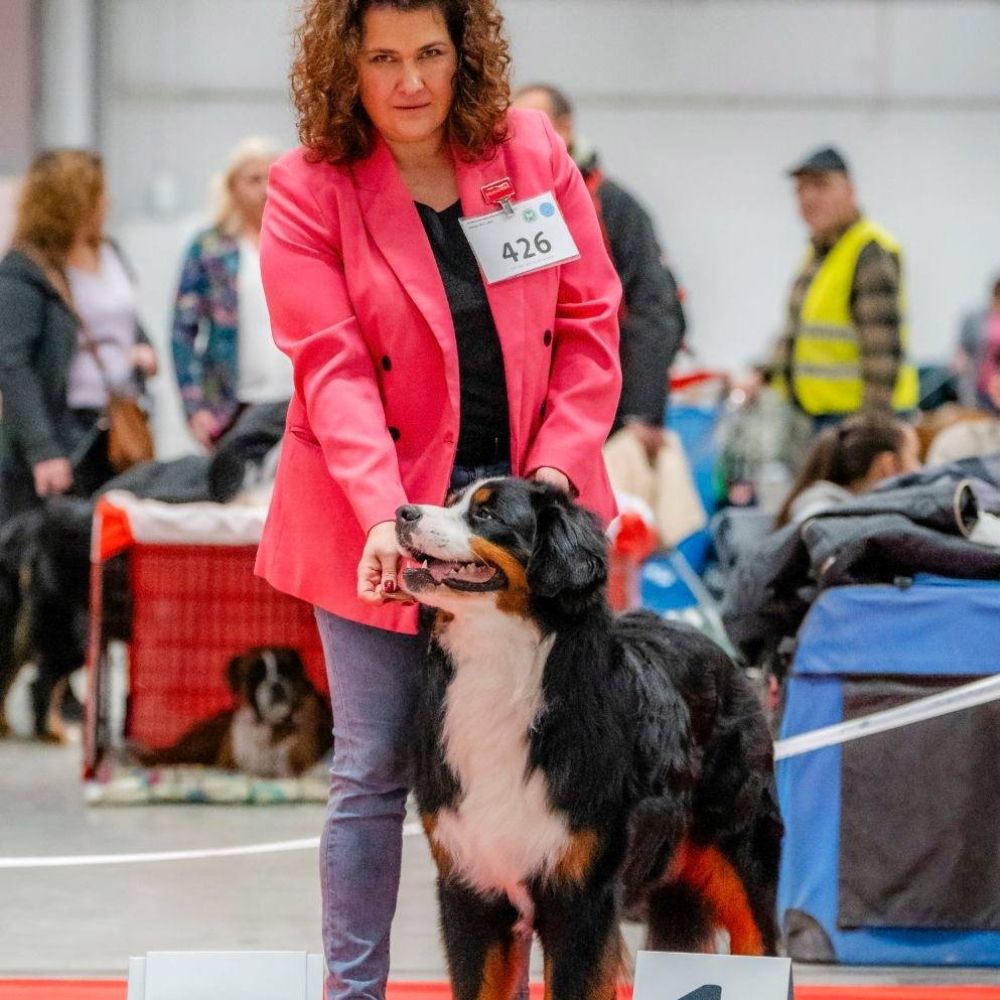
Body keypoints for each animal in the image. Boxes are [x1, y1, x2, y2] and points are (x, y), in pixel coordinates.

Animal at [137, 647, 331, 778]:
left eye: (286, 672)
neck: (266, 727)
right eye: (255, 675)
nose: (276, 684)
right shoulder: (228, 765)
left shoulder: (293, 766)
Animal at [395, 478, 782, 1000]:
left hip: (743, 858)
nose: (403, 513)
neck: (499, 672)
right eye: (449, 499)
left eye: (487, 515)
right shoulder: (471, 888)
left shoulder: (581, 897)